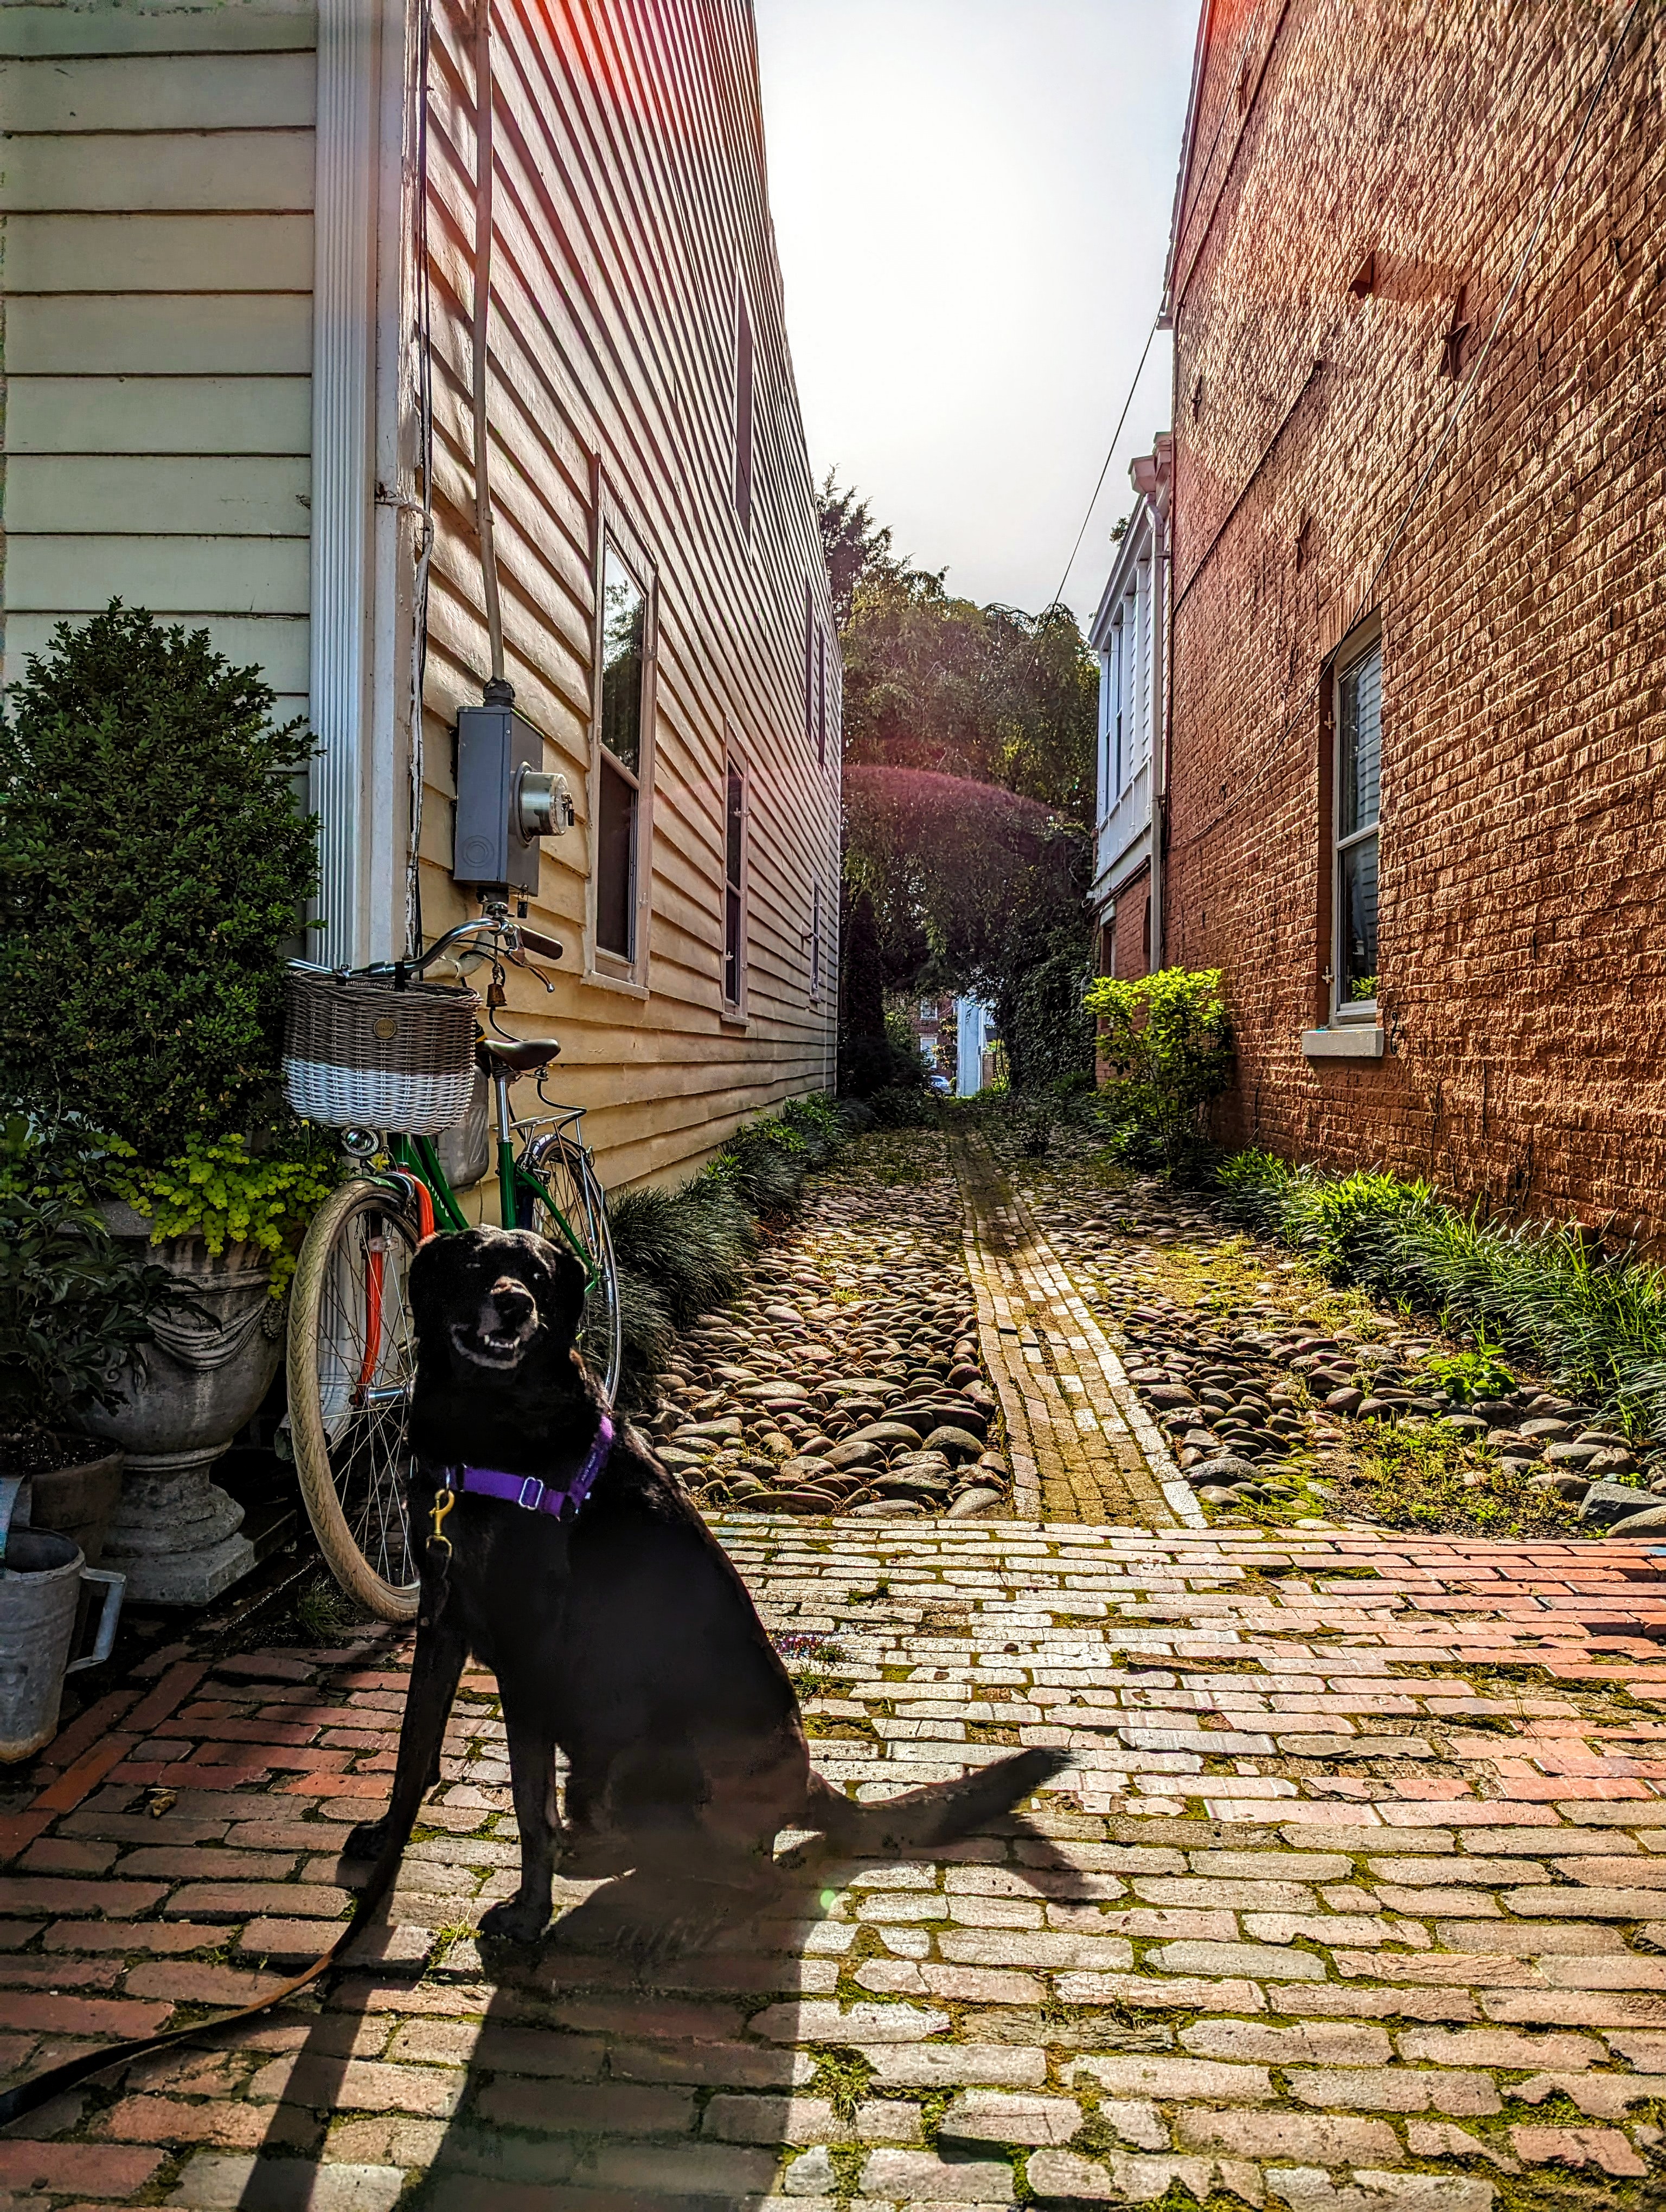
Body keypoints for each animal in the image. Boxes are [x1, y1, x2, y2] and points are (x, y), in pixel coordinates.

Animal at [345, 1230, 1058, 1938]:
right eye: (475, 1265)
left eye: (539, 1277)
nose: (517, 1305)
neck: (481, 1428)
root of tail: (808, 1785)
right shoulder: (440, 1618)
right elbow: (412, 1755)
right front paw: (386, 1838)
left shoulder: (528, 1662)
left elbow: (528, 1809)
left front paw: (528, 1913)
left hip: (639, 1764)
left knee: (757, 1876)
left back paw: (678, 1914)